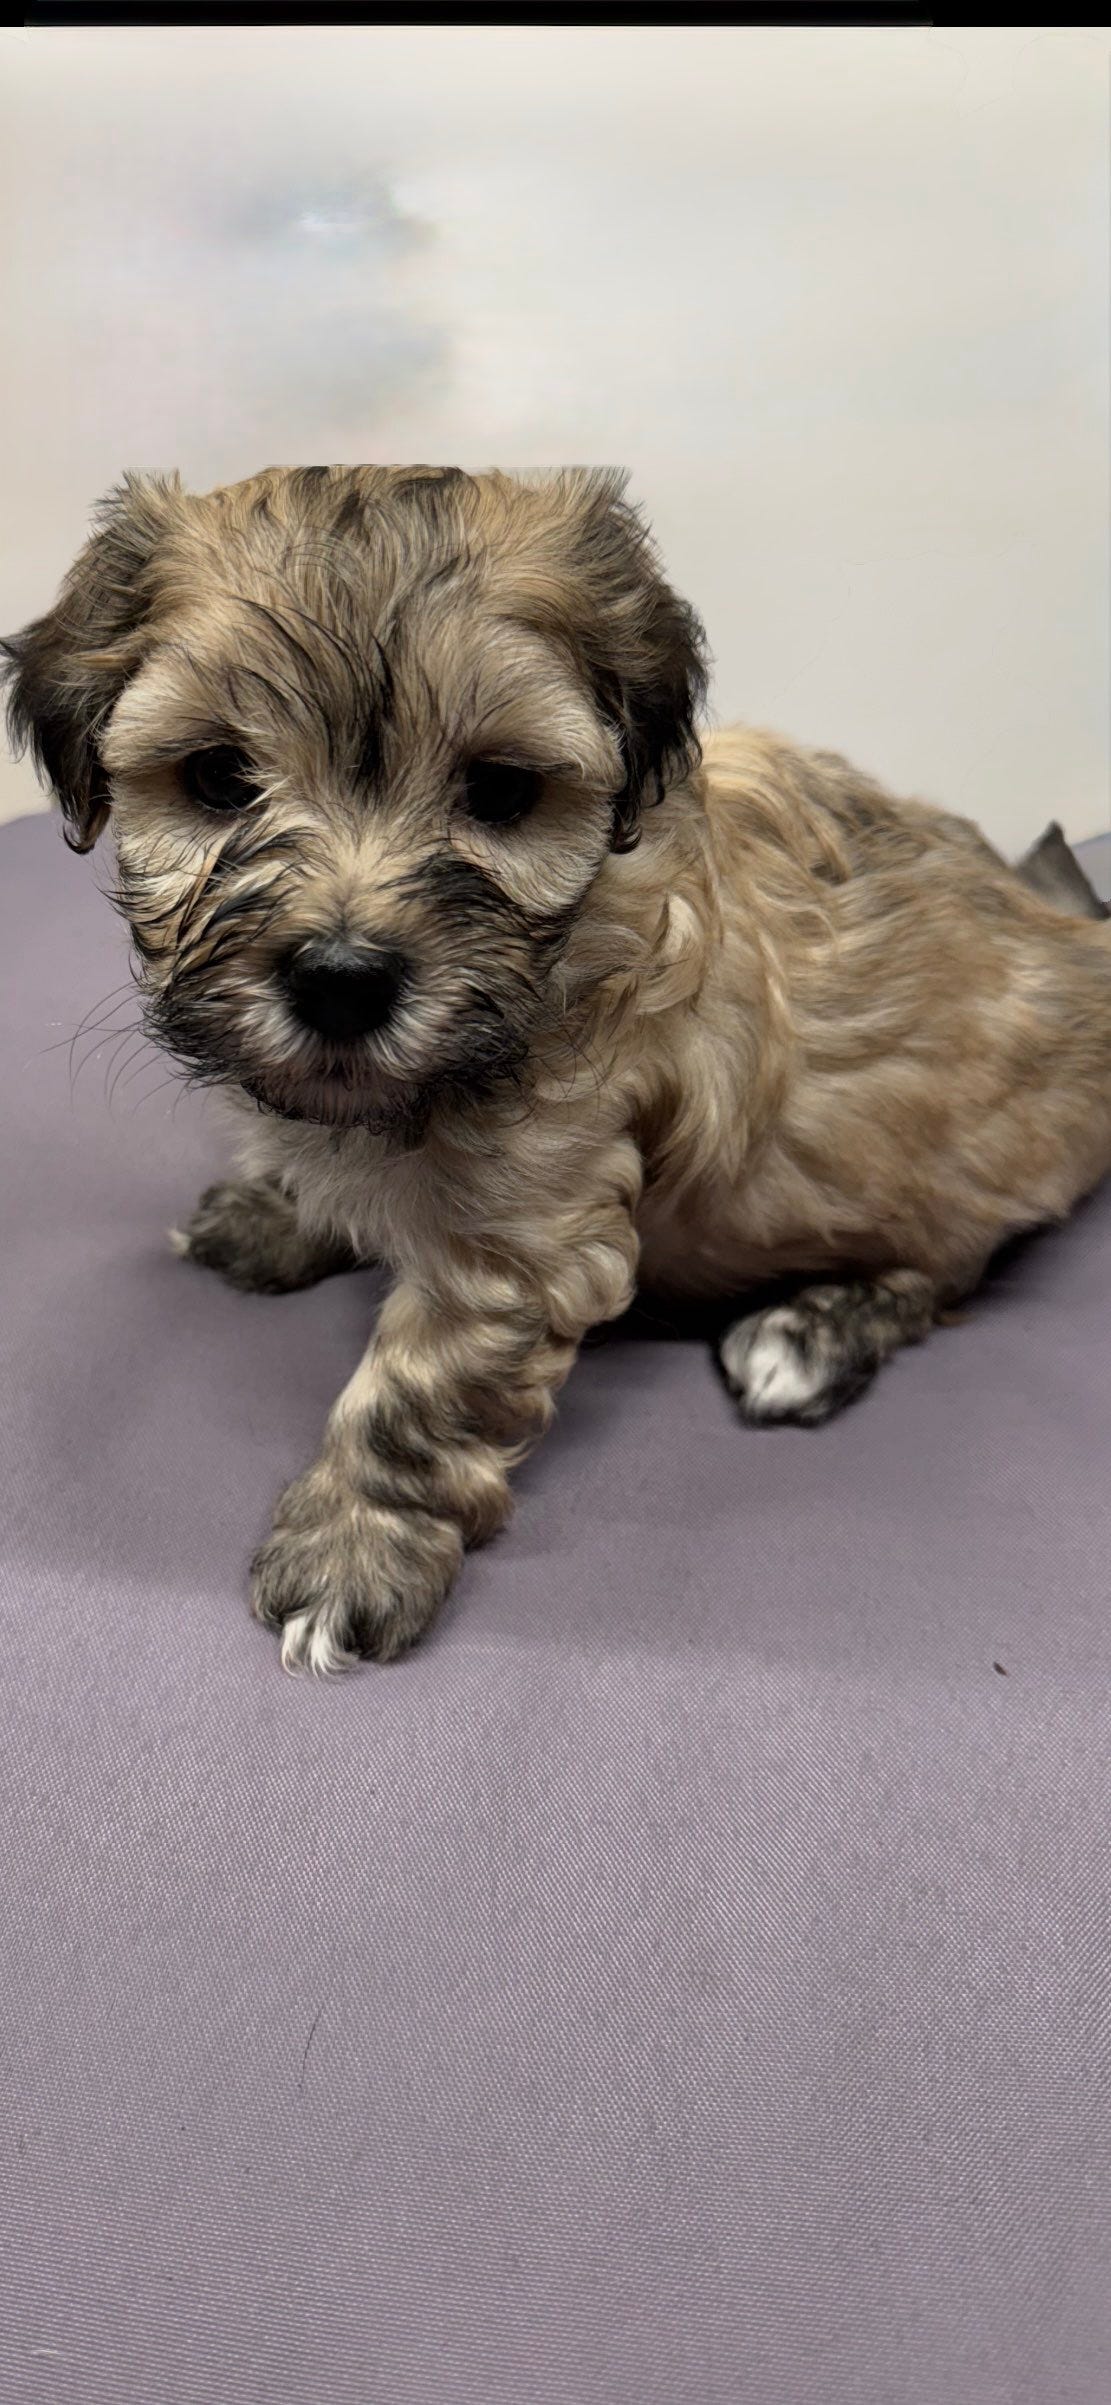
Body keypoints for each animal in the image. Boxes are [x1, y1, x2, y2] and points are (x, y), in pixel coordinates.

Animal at [5, 464, 1111, 1673]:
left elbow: (411, 1399)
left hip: (952, 1175)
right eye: (217, 777)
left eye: (499, 792)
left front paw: (351, 1548)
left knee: (941, 1277)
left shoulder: (524, 1244)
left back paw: (812, 1333)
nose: (342, 981)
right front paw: (280, 1212)